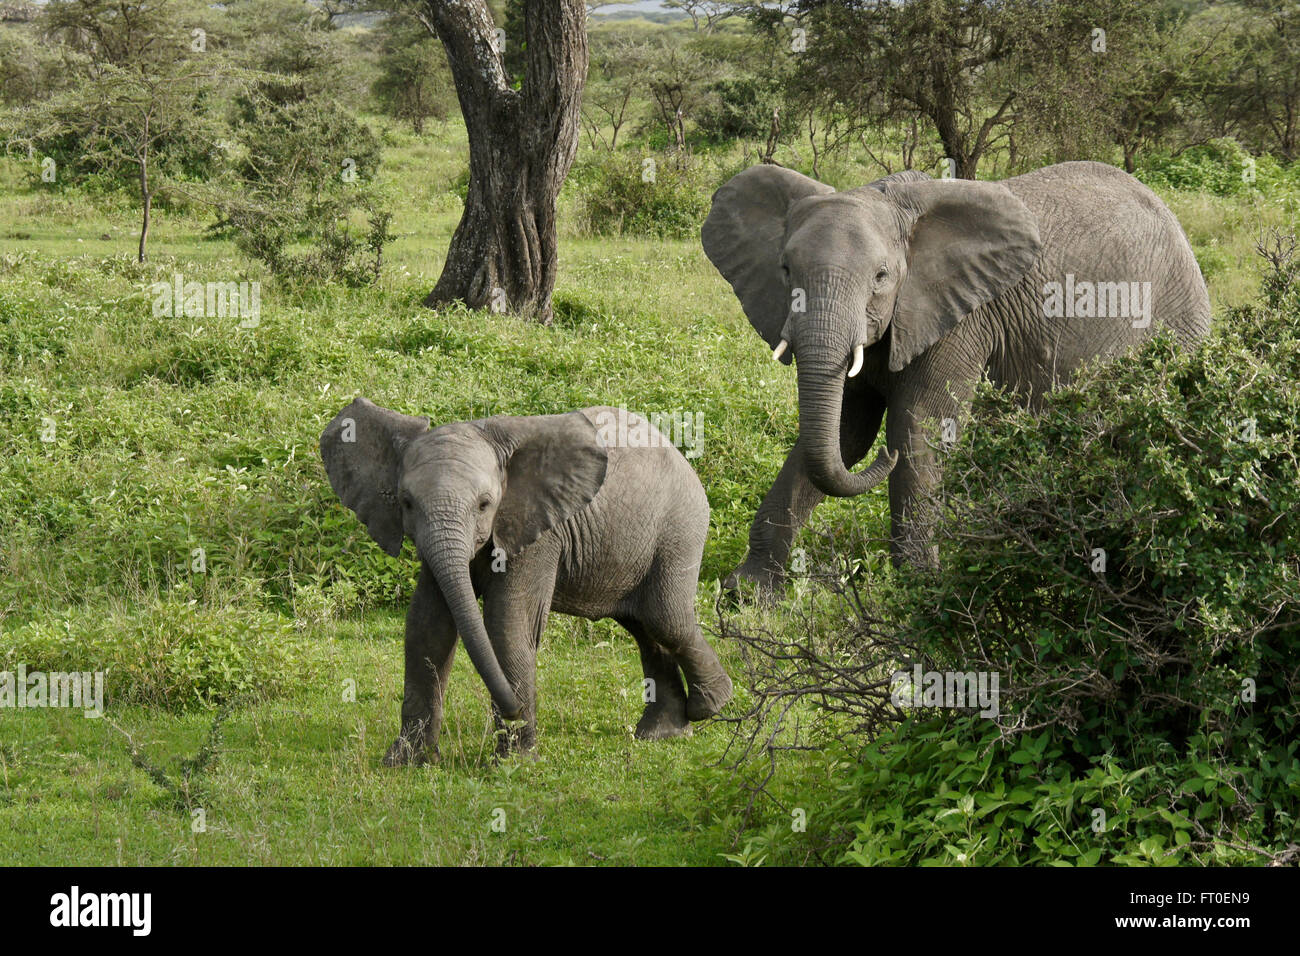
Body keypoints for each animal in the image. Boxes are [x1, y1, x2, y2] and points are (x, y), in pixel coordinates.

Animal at [321, 400, 733, 764]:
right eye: (406, 503)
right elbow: (427, 627)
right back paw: (663, 733)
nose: (516, 709)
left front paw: (514, 761)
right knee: (645, 626)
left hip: (679, 526)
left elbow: (508, 624)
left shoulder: (538, 533)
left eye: (485, 504)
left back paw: (712, 706)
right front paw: (405, 761)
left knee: (666, 617)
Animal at [707, 161, 1211, 595]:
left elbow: (919, 427)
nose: (739, 589)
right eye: (785, 269)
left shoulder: (960, 317)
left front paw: (917, 594)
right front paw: (747, 594)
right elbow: (845, 436)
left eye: (881, 276)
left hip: (1179, 317)